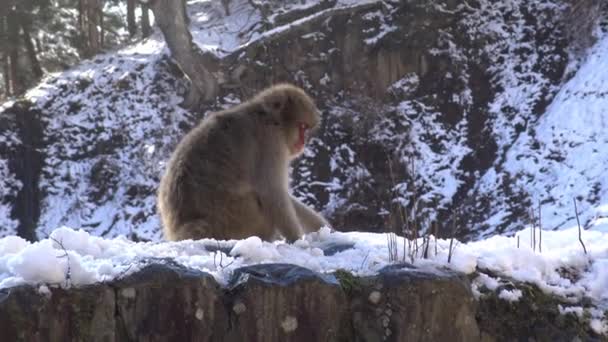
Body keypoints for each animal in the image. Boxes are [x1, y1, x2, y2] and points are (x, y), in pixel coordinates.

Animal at [157, 84, 328, 242]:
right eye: (302, 127)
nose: (303, 142)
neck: (271, 119)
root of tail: (179, 232)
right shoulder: (271, 141)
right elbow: (271, 192)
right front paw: (296, 239)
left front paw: (323, 227)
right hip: (236, 220)